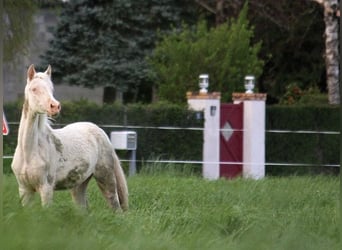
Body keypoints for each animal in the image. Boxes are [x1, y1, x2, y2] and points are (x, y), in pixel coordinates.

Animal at [11, 64, 128, 211]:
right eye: (34, 89)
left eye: (51, 89)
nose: (55, 106)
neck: (29, 152)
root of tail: (100, 132)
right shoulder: (24, 190)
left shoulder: (46, 188)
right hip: (79, 186)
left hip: (106, 178)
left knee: (116, 207)